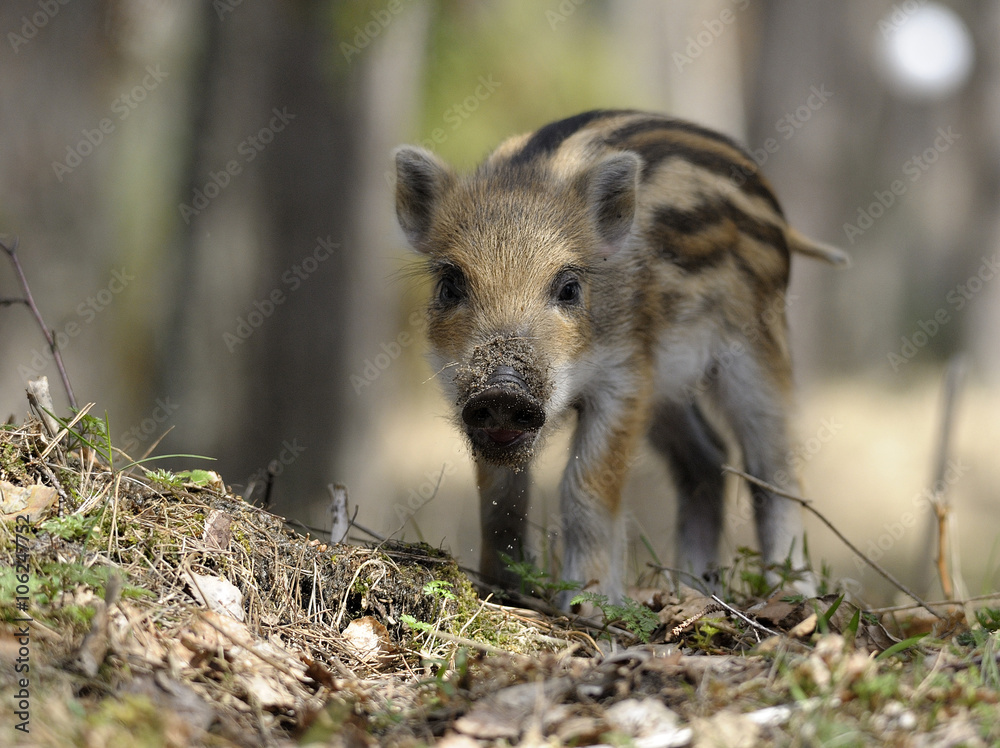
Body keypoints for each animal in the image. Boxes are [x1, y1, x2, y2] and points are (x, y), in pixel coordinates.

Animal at [393, 109, 845, 608]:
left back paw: (794, 595)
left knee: (774, 469)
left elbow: (586, 486)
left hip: (759, 350)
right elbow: (501, 498)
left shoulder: (624, 375)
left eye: (570, 287)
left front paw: (588, 606)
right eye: (450, 284)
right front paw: (503, 590)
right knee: (708, 459)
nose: (503, 390)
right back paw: (694, 589)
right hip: (668, 391)